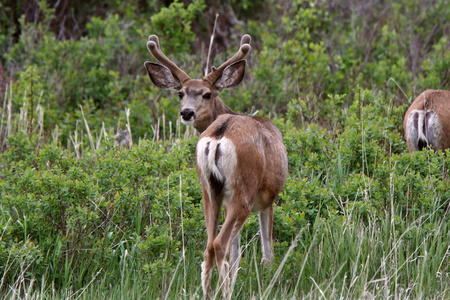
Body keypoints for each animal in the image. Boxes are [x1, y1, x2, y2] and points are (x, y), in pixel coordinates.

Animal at [145, 34, 288, 298]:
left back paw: (208, 292)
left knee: (209, 246)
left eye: (206, 94)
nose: (186, 112)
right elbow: (266, 250)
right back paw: (225, 293)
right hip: (243, 190)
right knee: (219, 244)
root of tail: (218, 136)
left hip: (209, 191)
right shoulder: (268, 198)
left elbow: (237, 254)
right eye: (180, 93)